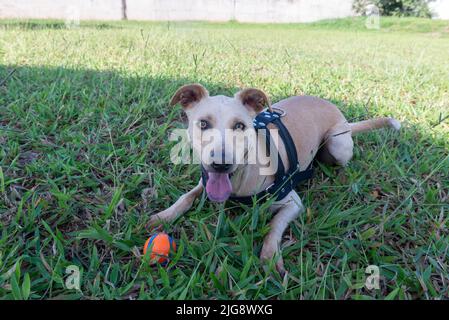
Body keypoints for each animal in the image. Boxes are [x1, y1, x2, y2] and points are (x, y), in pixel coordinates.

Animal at [149, 84, 400, 274]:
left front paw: (270, 257)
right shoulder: (204, 182)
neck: (241, 176)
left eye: (240, 126)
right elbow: (185, 197)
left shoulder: (293, 202)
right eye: (203, 123)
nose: (221, 163)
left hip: (337, 143)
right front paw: (163, 216)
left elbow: (274, 225)